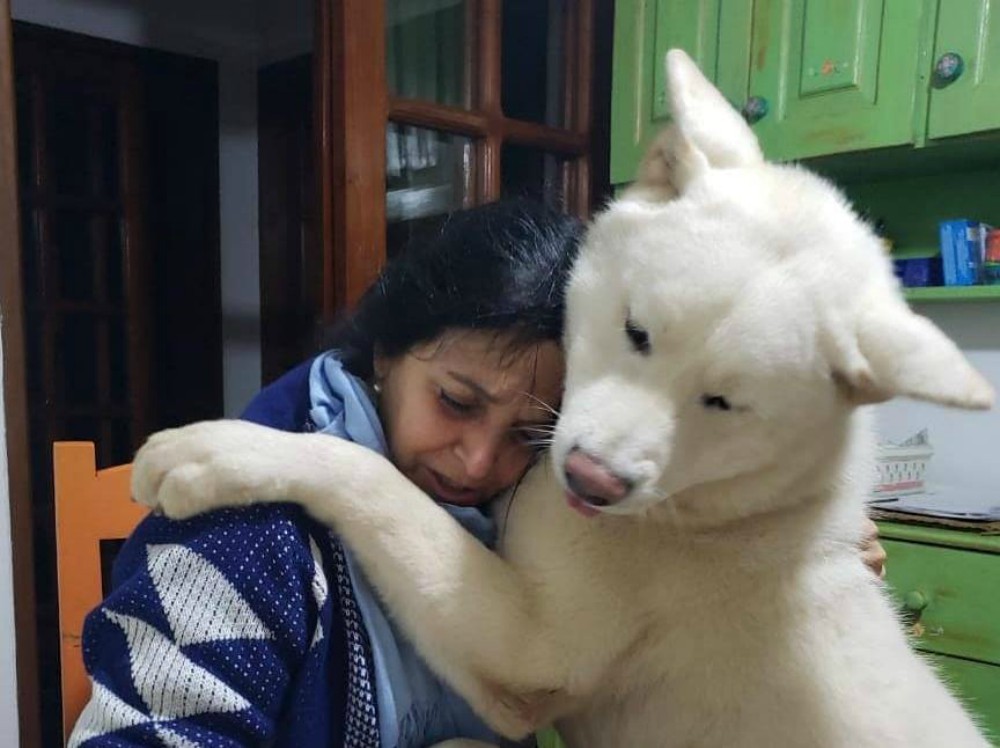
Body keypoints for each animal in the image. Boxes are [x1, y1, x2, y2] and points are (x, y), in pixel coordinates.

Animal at [134, 50, 995, 747]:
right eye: (637, 332)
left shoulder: (530, 652)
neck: (722, 509)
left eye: (724, 403)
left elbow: (368, 479)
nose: (592, 482)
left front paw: (219, 451)